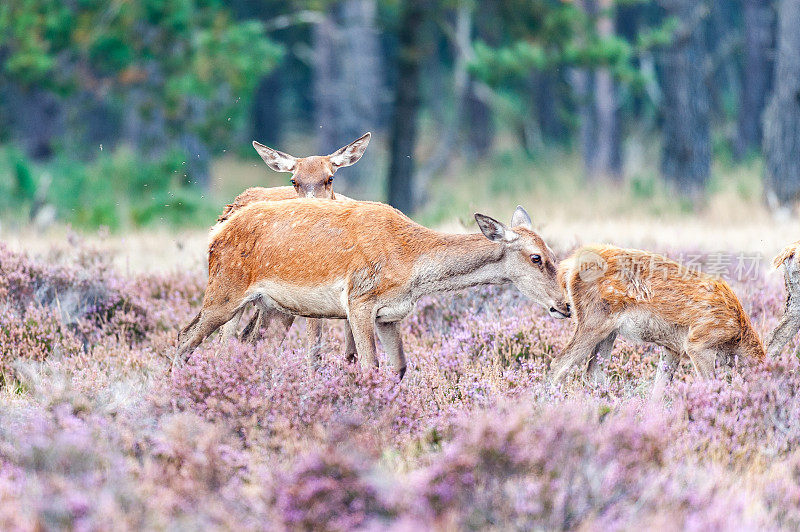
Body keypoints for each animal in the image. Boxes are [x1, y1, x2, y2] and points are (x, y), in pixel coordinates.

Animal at [178, 201, 572, 378]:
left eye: (554, 254)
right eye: (537, 257)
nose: (565, 306)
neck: (412, 265)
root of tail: (215, 233)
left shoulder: (389, 315)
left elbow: (398, 366)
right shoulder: (359, 300)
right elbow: (370, 365)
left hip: (262, 305)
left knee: (236, 346)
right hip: (224, 292)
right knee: (185, 337)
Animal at [217, 132, 370, 362]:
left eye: (330, 178)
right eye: (294, 180)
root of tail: (235, 204)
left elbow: (351, 352)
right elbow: (315, 348)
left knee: (248, 337)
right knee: (227, 341)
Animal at [552, 245, 764, 394]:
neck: (736, 337)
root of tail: (568, 266)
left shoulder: (673, 349)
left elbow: (658, 391)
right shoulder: (698, 344)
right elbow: (711, 386)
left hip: (609, 331)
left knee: (593, 372)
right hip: (593, 321)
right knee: (560, 364)